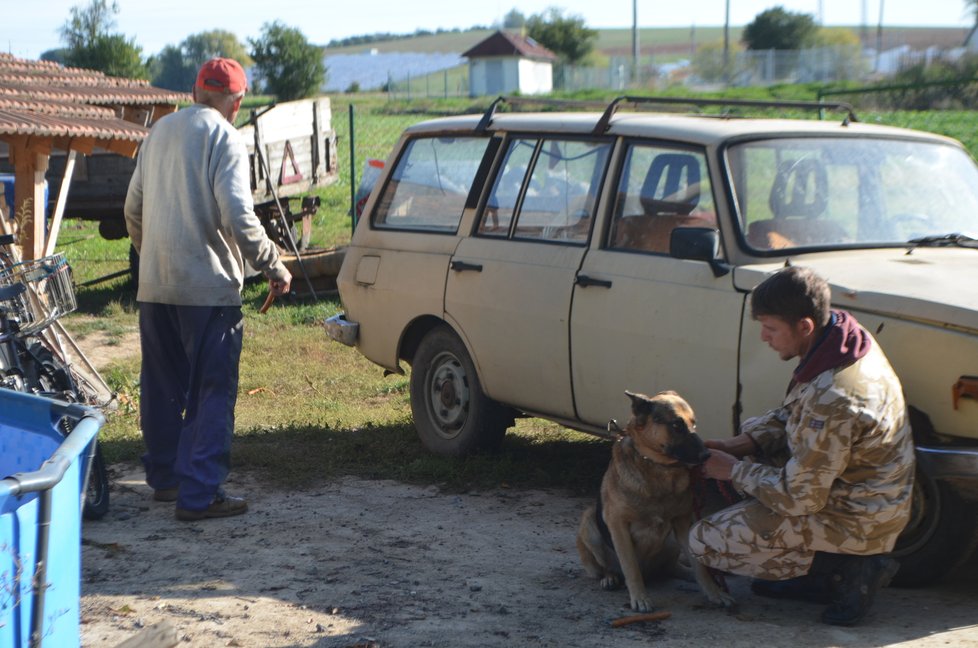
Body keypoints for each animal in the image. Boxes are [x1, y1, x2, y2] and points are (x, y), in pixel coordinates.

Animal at [572, 390, 732, 612]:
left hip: (672, 541)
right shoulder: (618, 525)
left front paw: (714, 592)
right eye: (676, 425)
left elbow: (699, 567)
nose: (707, 455)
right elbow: (630, 567)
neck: (658, 468)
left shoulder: (683, 522)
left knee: (674, 568)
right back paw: (610, 578)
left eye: (694, 424)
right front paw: (640, 598)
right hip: (589, 523)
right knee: (606, 568)